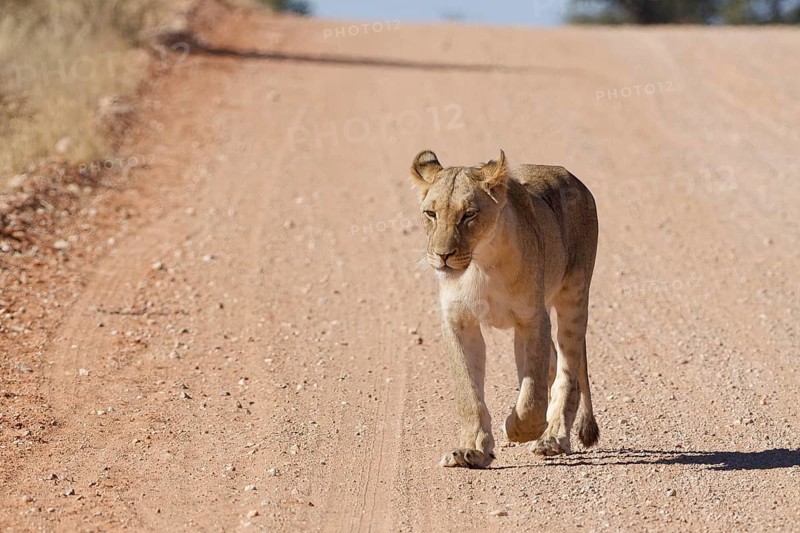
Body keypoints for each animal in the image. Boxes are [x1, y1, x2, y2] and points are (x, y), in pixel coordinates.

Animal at [409, 149, 600, 468]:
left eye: (469, 214)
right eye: (431, 214)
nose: (442, 255)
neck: (480, 264)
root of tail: (571, 177)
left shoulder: (531, 319)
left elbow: (531, 396)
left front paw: (516, 427)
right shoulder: (459, 323)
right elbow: (468, 392)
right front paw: (471, 451)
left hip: (573, 296)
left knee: (568, 372)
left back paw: (552, 438)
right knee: (554, 363)